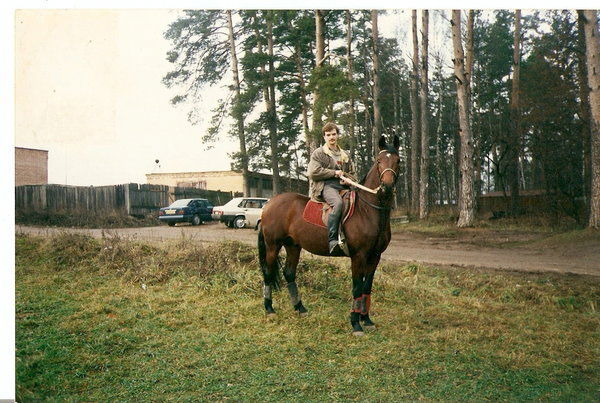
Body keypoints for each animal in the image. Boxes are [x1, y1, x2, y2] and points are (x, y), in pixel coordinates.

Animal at [256, 134, 400, 336]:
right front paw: (355, 324)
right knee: (268, 273)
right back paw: (269, 309)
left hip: (293, 246)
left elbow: (367, 287)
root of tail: (268, 204)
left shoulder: (375, 256)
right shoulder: (358, 256)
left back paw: (300, 308)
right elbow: (357, 288)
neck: (368, 211)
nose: (386, 187)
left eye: (398, 161)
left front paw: (366, 319)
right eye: (379, 161)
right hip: (272, 246)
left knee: (289, 274)